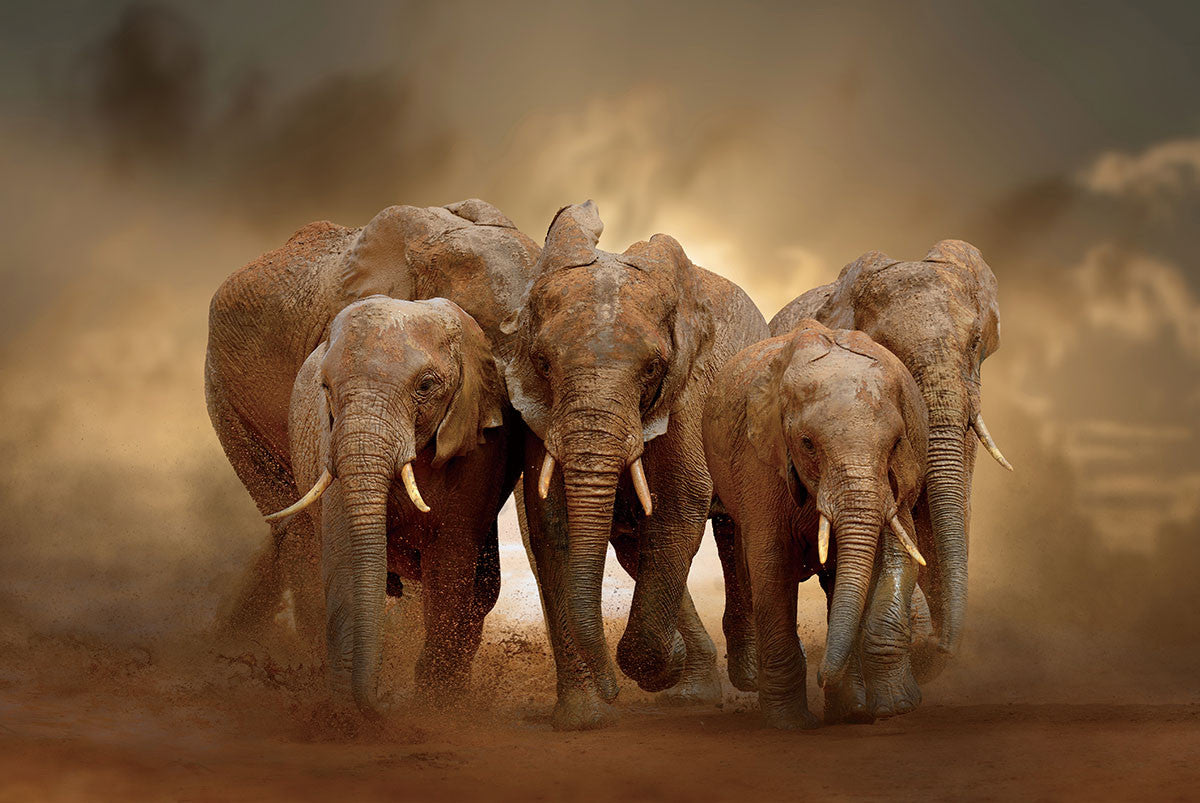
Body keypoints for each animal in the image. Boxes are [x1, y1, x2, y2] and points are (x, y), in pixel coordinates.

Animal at [266, 295, 517, 712]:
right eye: (325, 387)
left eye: (426, 386)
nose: (382, 702)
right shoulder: (330, 442)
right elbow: (345, 557)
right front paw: (342, 709)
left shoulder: (476, 446)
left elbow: (450, 565)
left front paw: (435, 704)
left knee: (481, 592)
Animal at [501, 201, 769, 729]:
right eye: (542, 363)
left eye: (652, 369)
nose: (611, 693)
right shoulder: (540, 415)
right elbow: (552, 521)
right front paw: (587, 715)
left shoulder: (688, 389)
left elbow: (683, 499)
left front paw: (657, 666)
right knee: (635, 547)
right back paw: (692, 691)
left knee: (735, 529)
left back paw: (748, 677)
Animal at [703, 320, 929, 728]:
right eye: (807, 443)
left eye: (896, 443)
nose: (823, 676)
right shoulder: (760, 460)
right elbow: (771, 562)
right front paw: (789, 724)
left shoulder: (900, 475)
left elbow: (899, 553)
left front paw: (896, 706)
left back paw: (852, 710)